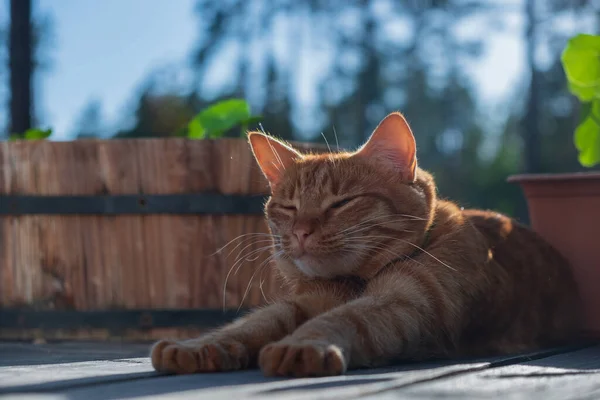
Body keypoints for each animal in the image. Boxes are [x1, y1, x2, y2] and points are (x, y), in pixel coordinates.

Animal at [150, 113, 580, 378]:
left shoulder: (408, 305)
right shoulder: (300, 303)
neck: (354, 283)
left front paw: (299, 346)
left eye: (340, 203)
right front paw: (196, 346)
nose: (301, 231)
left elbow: (343, 319)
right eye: (288, 207)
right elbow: (248, 325)